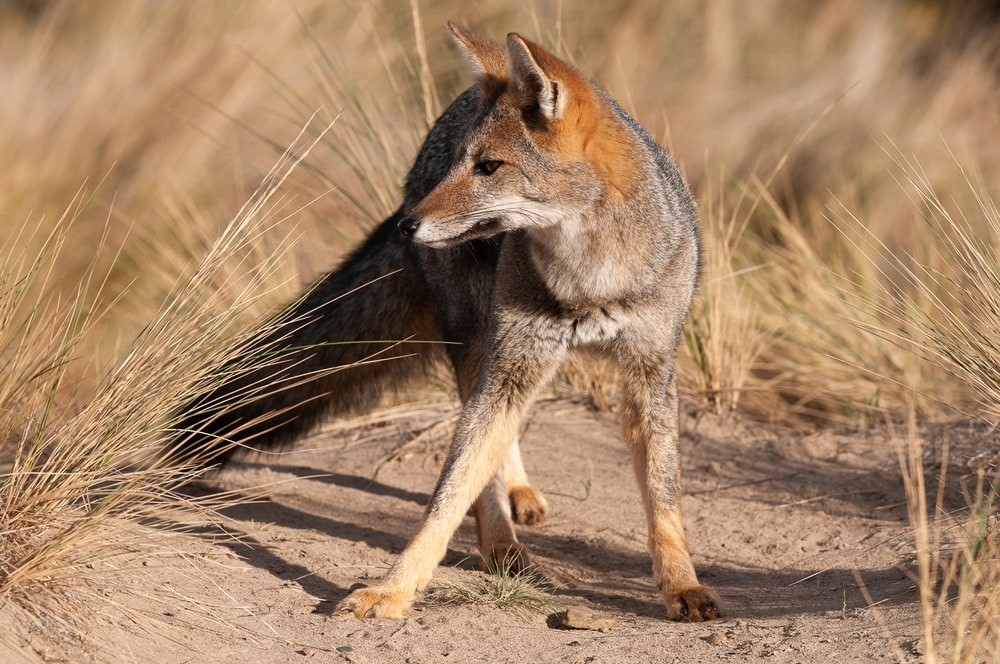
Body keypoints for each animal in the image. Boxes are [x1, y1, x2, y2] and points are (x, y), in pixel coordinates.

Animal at [174, 22, 720, 622]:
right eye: (462, 162)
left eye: (489, 167)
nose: (409, 223)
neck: (590, 282)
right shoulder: (510, 359)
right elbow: (450, 493)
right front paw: (394, 588)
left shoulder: (652, 375)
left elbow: (664, 500)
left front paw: (682, 585)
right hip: (484, 341)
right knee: (482, 451)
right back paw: (503, 546)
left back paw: (517, 500)